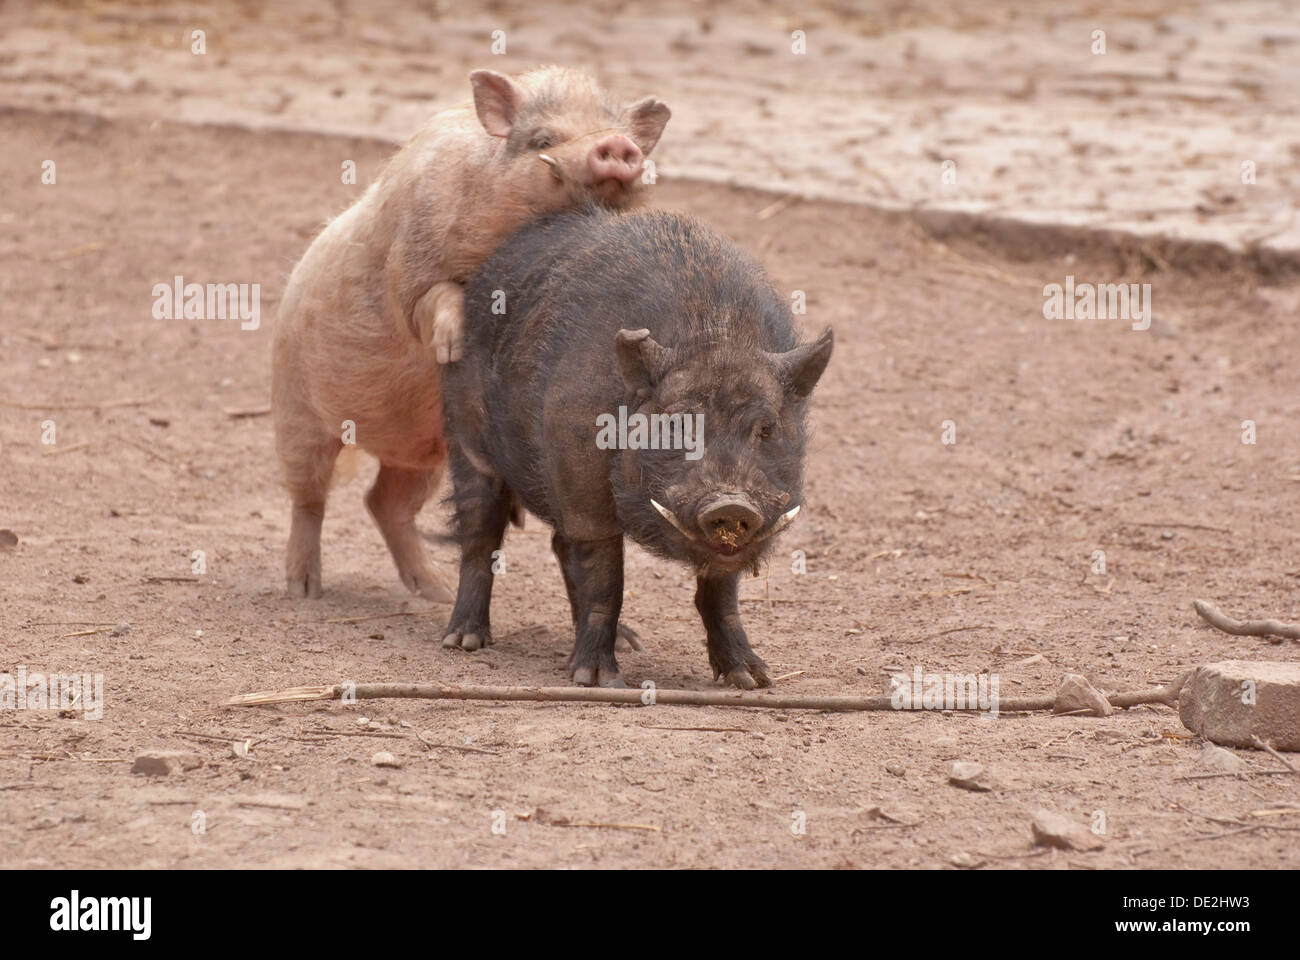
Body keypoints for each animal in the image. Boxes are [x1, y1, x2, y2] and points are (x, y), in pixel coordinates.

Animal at [444, 205, 832, 686]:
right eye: (677, 424)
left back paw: (631, 642)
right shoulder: (580, 480)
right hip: (466, 438)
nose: (731, 504)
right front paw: (597, 680)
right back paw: (464, 642)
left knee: (558, 545)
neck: (715, 330)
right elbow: (606, 578)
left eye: (765, 428)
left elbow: (720, 594)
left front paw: (753, 680)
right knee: (479, 533)